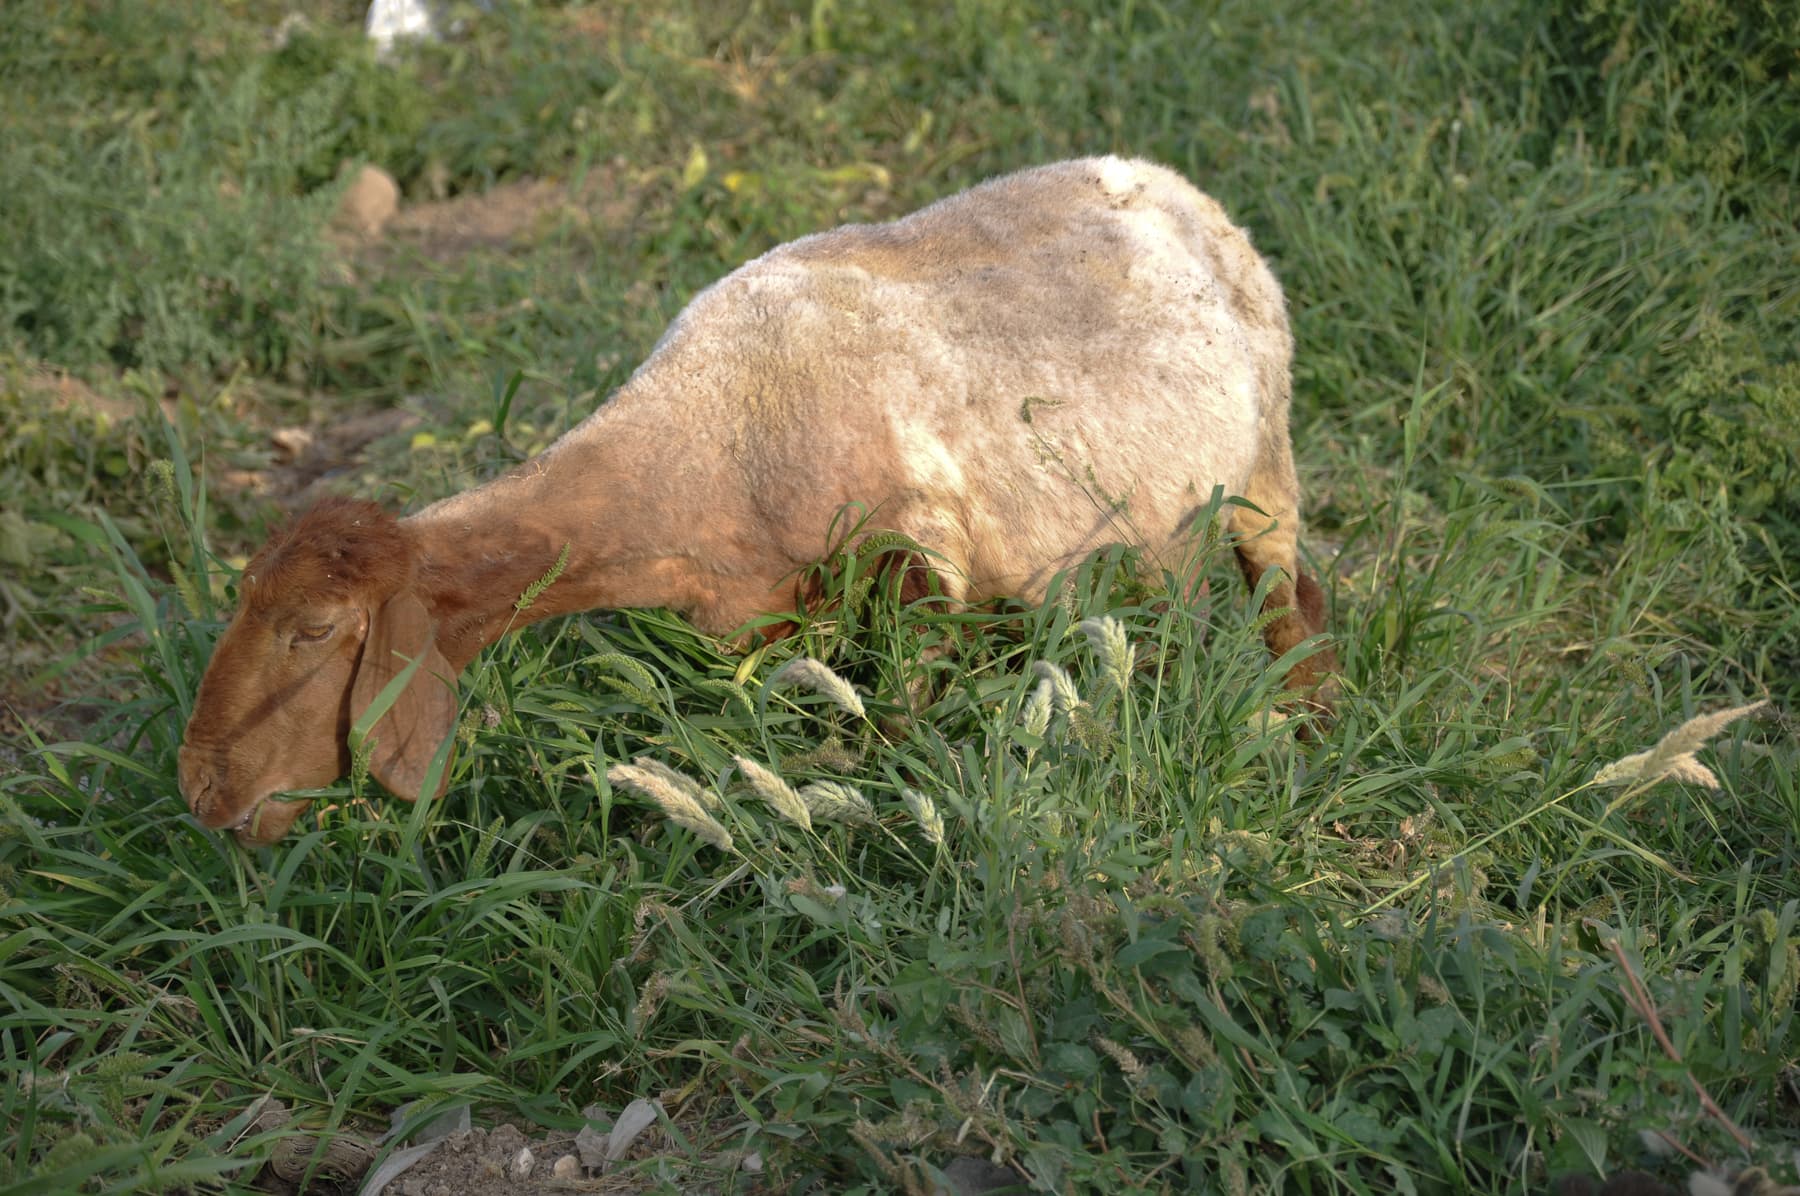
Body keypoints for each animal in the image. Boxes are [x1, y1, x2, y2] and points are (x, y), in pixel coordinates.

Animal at [177, 156, 1338, 845]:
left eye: (315, 630)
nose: (199, 793)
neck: (703, 442)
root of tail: (1177, 185)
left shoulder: (916, 572)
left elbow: (901, 727)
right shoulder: (766, 620)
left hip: (1264, 468)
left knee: (1295, 603)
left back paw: (1307, 729)